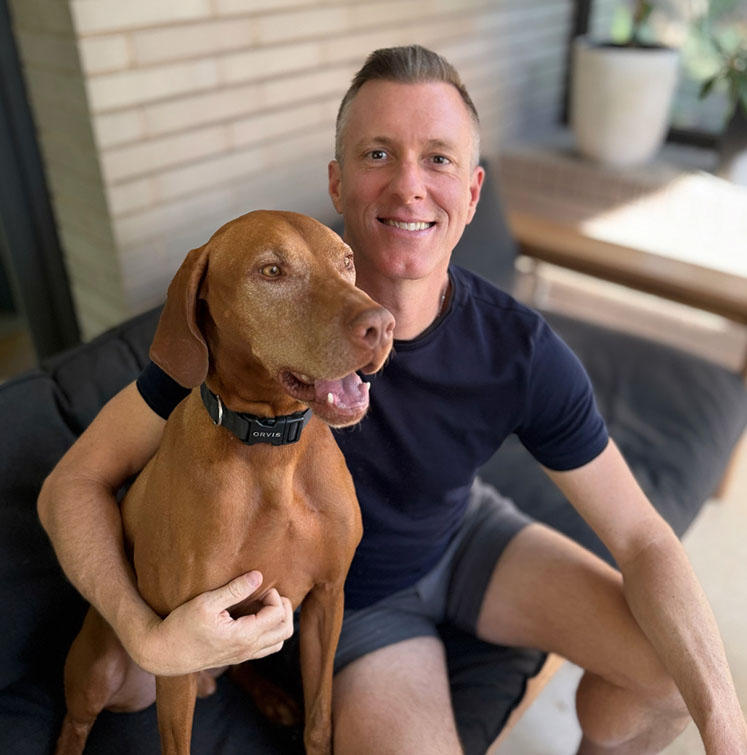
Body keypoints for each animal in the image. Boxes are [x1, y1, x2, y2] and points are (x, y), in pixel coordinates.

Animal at [57, 210, 398, 752]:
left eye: (348, 262)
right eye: (272, 271)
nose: (382, 324)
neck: (271, 449)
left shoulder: (328, 598)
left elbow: (320, 719)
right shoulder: (183, 645)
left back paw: (272, 696)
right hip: (100, 664)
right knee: (77, 720)